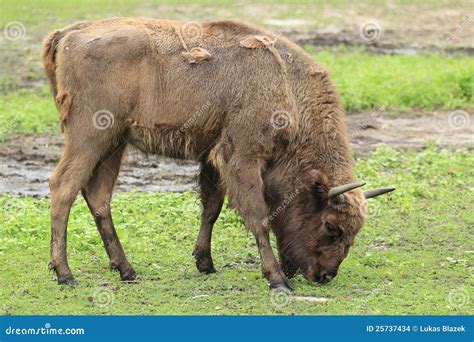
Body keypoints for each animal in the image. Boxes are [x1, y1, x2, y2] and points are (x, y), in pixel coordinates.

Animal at [43, 18, 392, 292]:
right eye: (331, 226)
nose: (325, 275)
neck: (288, 89)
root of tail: (66, 33)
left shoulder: (211, 159)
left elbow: (211, 209)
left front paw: (205, 263)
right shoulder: (242, 157)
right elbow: (259, 218)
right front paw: (277, 280)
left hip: (114, 144)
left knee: (98, 197)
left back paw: (126, 270)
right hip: (90, 137)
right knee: (63, 187)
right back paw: (65, 274)